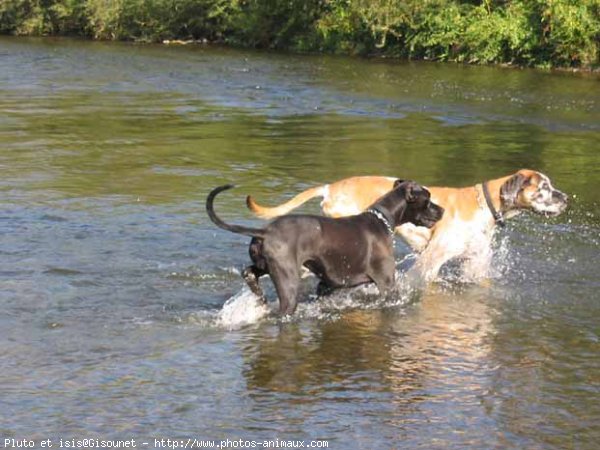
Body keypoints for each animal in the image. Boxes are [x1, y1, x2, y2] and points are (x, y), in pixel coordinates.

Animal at [207, 180, 446, 316]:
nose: (443, 210)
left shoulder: (327, 285)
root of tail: (264, 232)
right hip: (288, 283)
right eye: (427, 199)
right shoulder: (388, 285)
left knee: (248, 273)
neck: (382, 219)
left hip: (266, 265)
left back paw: (259, 297)